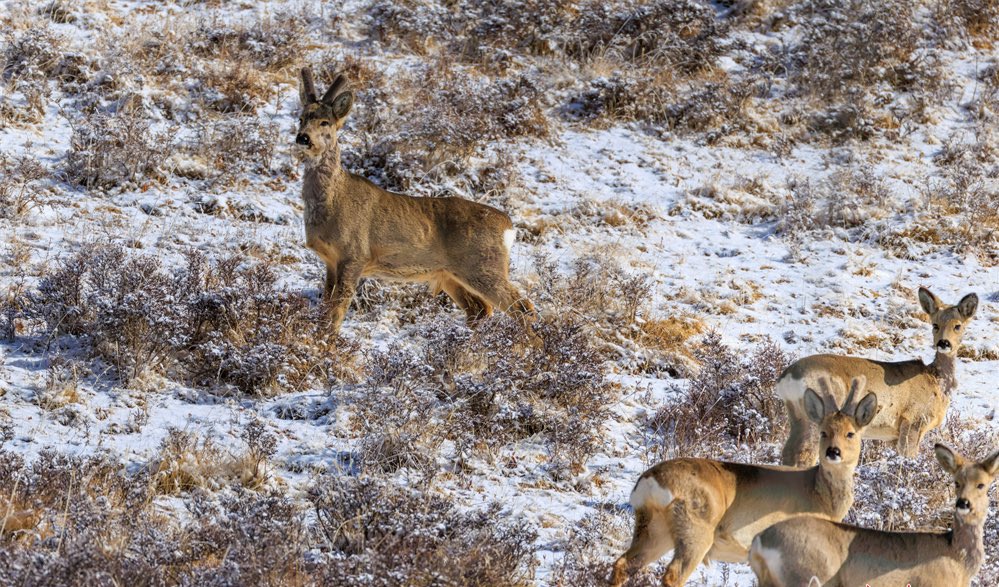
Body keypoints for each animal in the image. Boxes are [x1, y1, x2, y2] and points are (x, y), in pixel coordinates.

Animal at [294, 67, 536, 333]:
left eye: (325, 122)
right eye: (301, 118)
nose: (303, 138)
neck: (333, 202)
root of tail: (509, 227)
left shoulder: (354, 254)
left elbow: (336, 313)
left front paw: (327, 342)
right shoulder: (329, 261)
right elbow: (325, 309)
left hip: (485, 265)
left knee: (523, 308)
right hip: (451, 275)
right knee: (481, 310)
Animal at [610, 377, 877, 587]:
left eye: (850, 433)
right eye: (823, 432)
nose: (833, 452)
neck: (819, 493)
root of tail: (650, 481)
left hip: (655, 530)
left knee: (622, 564)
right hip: (696, 528)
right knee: (672, 576)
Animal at [750, 443, 999, 587]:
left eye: (982, 485)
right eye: (957, 483)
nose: (963, 503)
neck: (957, 559)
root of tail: (760, 541)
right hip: (805, 575)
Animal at [777, 287, 978, 467]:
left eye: (958, 326)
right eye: (935, 325)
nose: (944, 343)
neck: (936, 381)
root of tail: (787, 376)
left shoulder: (892, 435)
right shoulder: (913, 420)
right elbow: (908, 458)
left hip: (797, 416)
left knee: (788, 452)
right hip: (817, 412)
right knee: (804, 454)